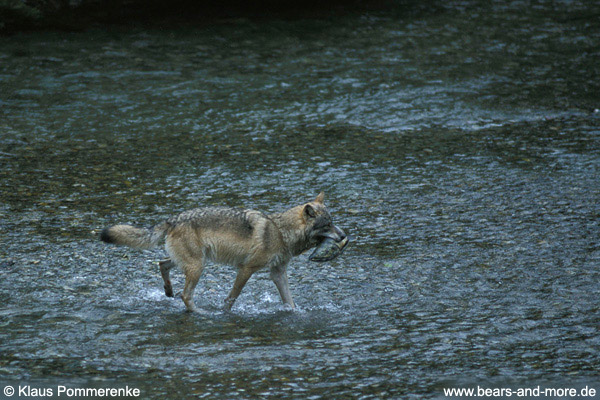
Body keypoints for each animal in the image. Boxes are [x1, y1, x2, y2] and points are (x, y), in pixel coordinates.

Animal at [101, 193, 346, 312]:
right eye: (328, 225)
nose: (344, 236)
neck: (279, 231)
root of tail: (173, 219)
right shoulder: (246, 269)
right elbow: (231, 298)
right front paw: (224, 313)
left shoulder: (277, 273)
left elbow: (290, 302)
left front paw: (296, 314)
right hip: (198, 267)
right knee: (185, 295)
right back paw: (202, 313)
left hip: (191, 263)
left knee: (162, 264)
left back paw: (168, 292)